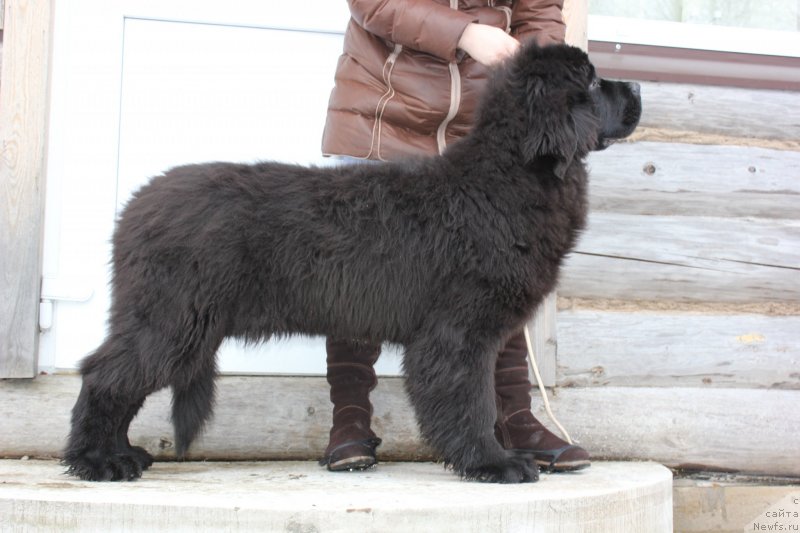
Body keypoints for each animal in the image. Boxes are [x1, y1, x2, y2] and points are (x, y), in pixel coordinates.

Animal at [62, 42, 640, 482]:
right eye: (591, 82)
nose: (636, 88)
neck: (505, 178)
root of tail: (136, 204)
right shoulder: (459, 331)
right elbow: (473, 402)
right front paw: (494, 464)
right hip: (172, 319)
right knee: (104, 375)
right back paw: (99, 461)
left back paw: (121, 454)